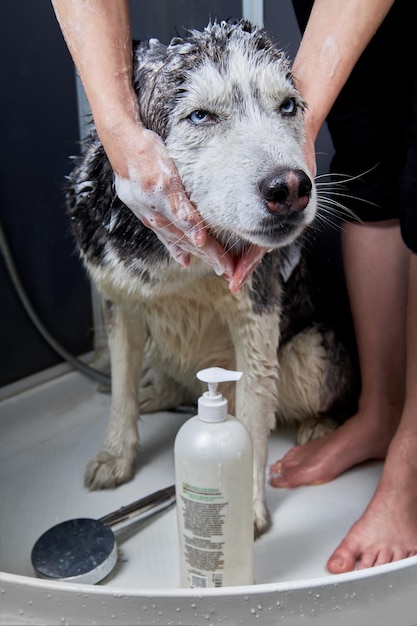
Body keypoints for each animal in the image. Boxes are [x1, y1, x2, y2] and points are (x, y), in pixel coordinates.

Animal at [66, 22, 352, 532]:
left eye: (288, 106)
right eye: (201, 116)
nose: (291, 187)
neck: (174, 264)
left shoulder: (255, 321)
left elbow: (254, 420)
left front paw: (246, 510)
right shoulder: (121, 305)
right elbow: (119, 391)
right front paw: (116, 456)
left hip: (308, 358)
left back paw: (319, 426)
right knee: (161, 379)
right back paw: (154, 394)